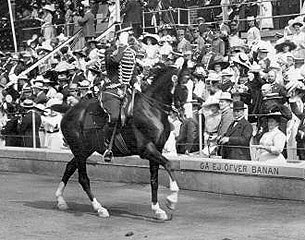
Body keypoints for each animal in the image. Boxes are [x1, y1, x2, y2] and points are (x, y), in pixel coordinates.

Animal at [55, 63, 188, 219]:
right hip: (80, 151)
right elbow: (169, 164)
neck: (152, 110)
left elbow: (154, 180)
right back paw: (99, 208)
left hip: (84, 150)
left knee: (70, 167)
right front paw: (171, 200)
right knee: (83, 178)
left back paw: (60, 200)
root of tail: (68, 112)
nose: (185, 115)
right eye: (184, 86)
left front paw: (157, 209)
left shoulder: (157, 149)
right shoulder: (147, 150)